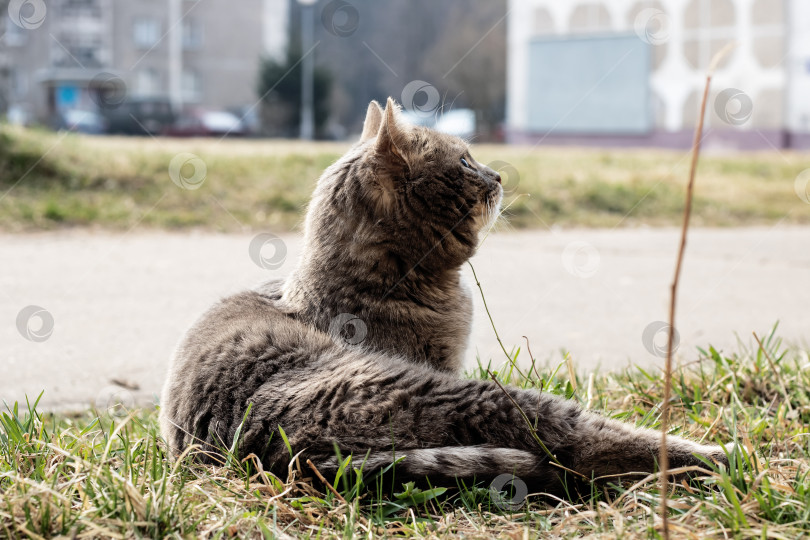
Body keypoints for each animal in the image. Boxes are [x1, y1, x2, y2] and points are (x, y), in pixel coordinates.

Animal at [161, 99, 728, 496]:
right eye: (465, 161)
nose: (497, 174)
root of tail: (264, 453)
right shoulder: (445, 368)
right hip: (472, 397)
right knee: (584, 441)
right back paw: (719, 456)